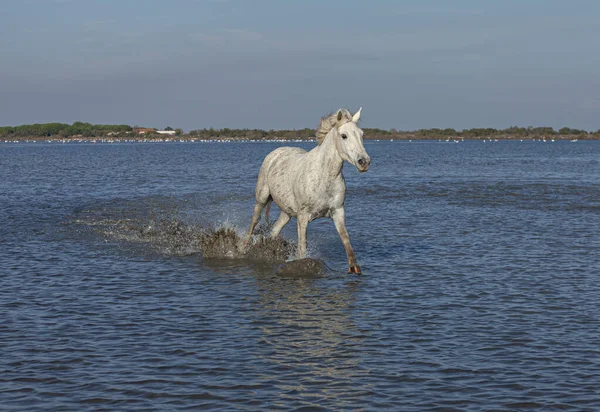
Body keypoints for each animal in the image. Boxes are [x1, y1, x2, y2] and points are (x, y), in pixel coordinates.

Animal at [245, 108, 370, 274]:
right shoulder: (303, 217)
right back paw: (244, 248)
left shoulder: (338, 211)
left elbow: (345, 239)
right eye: (344, 135)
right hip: (262, 198)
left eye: (361, 134)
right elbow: (302, 245)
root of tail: (276, 152)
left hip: (287, 212)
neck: (324, 176)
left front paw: (354, 267)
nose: (364, 162)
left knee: (275, 230)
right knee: (254, 221)